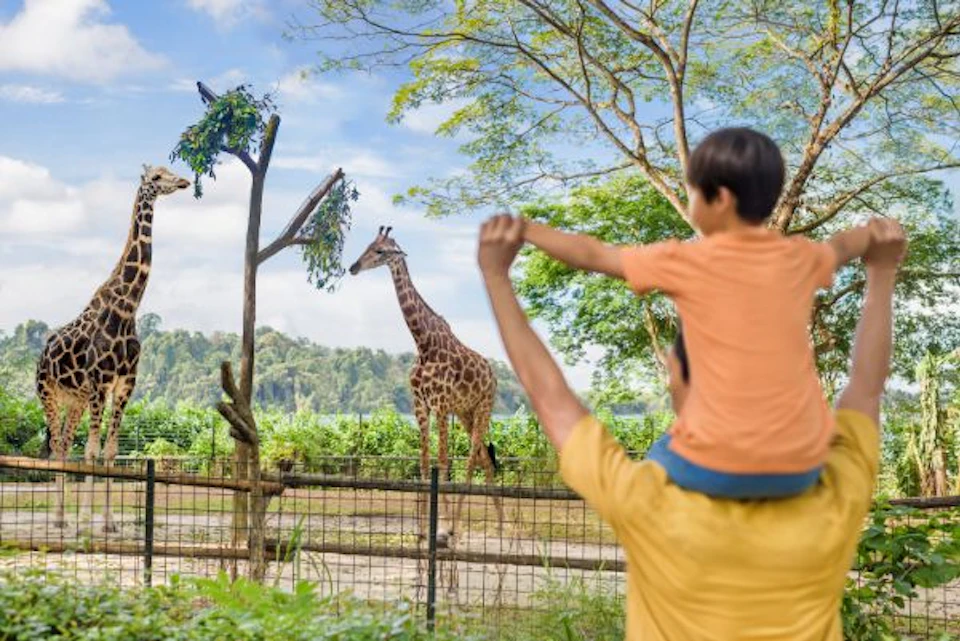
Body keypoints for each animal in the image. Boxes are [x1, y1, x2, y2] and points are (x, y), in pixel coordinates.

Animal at [36, 165, 190, 532]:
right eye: (157, 176)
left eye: (169, 171)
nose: (183, 181)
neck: (127, 308)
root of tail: (42, 355)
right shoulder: (100, 383)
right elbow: (92, 451)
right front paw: (87, 519)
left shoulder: (124, 385)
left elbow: (109, 451)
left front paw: (107, 521)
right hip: (48, 392)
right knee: (57, 444)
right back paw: (60, 519)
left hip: (74, 399)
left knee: (65, 443)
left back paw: (62, 517)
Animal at [349, 226, 502, 544]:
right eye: (368, 245)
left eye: (380, 251)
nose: (353, 267)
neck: (423, 343)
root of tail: (493, 375)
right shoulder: (420, 405)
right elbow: (423, 462)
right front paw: (421, 531)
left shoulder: (441, 405)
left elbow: (442, 463)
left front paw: (443, 528)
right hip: (467, 413)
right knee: (484, 457)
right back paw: (503, 525)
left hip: (484, 407)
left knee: (472, 458)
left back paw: (459, 528)